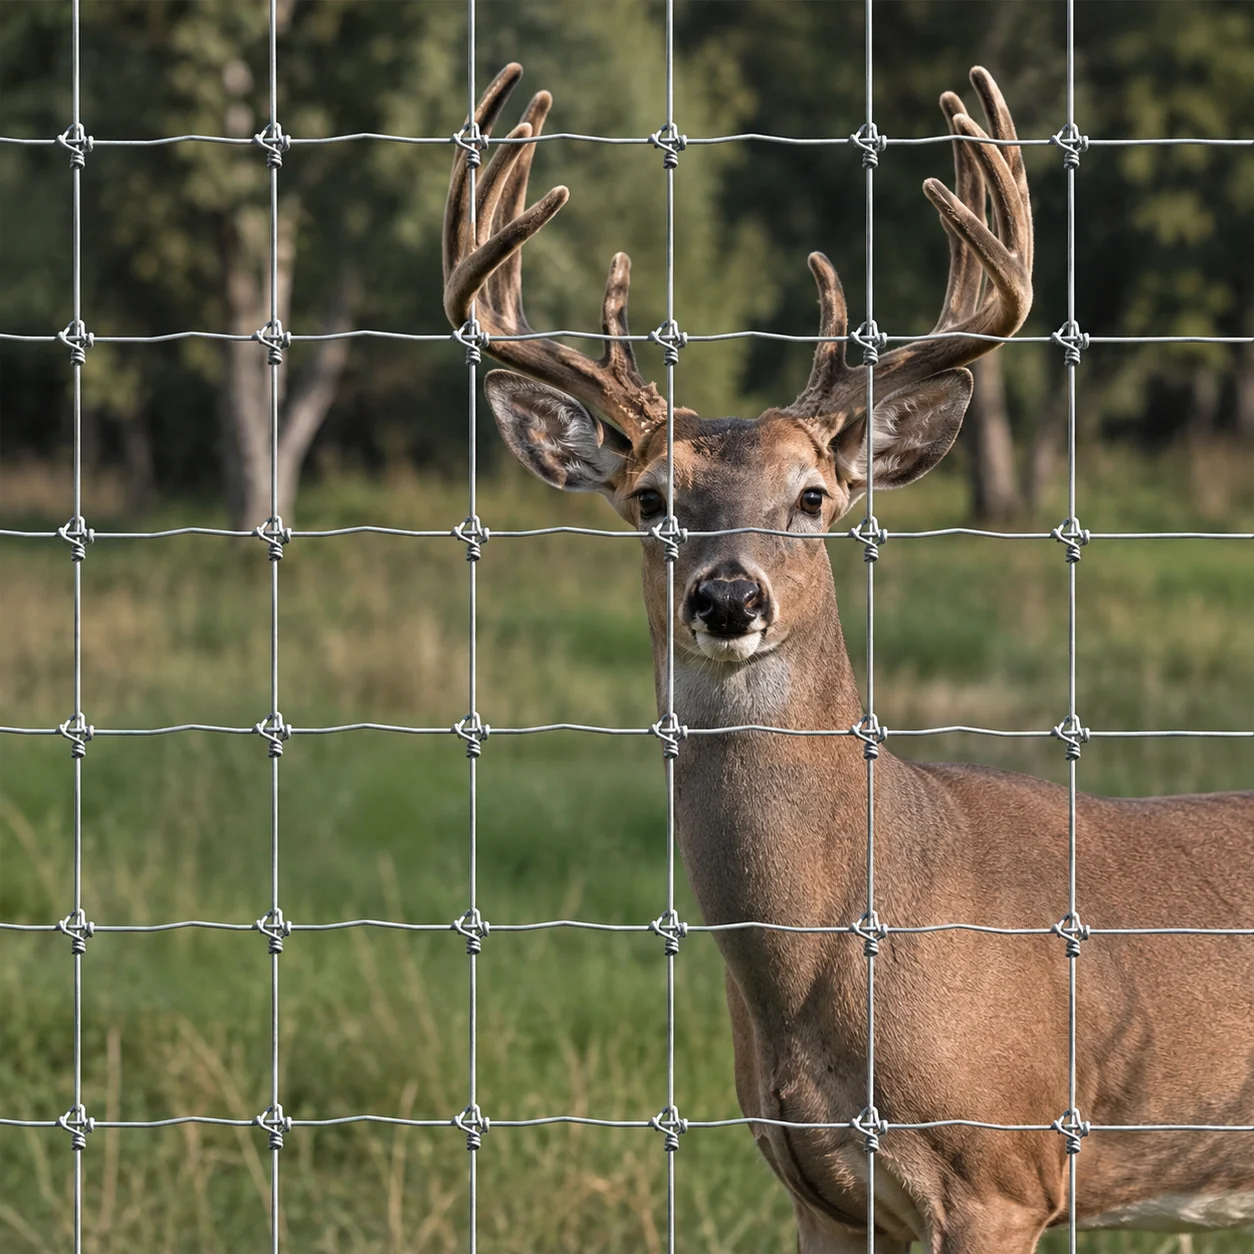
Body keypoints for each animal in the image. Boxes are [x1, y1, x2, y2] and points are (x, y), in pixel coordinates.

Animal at [443, 63, 1254, 1254]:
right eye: (651, 497)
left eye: (814, 496)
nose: (728, 596)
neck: (833, 947)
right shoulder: (816, 1189)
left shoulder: (1000, 1172)